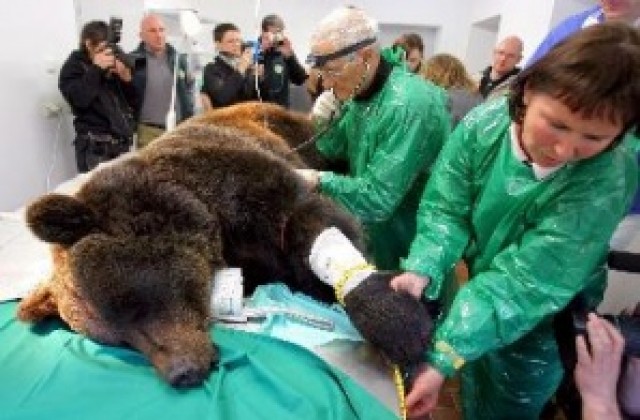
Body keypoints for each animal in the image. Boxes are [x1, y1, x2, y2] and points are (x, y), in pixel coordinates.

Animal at [17, 101, 432, 388]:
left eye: (130, 304)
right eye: (118, 340)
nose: (181, 371)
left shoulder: (248, 187)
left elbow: (316, 224)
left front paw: (401, 324)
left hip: (308, 141)